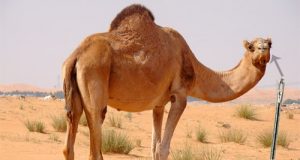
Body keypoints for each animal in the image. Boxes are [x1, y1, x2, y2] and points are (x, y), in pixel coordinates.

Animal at [61, 3, 272, 160]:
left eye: (269, 44)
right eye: (252, 47)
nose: (263, 49)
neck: (194, 67)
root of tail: (76, 56)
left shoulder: (158, 104)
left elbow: (154, 148)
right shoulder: (180, 95)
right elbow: (163, 149)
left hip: (74, 96)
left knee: (68, 145)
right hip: (95, 82)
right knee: (95, 146)